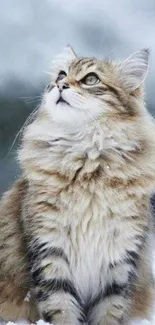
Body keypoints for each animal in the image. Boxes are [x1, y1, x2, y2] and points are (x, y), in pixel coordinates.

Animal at [0, 46, 155, 324]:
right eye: (61, 74)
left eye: (91, 79)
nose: (60, 85)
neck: (88, 167)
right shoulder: (49, 249)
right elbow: (61, 308)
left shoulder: (120, 257)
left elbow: (110, 311)